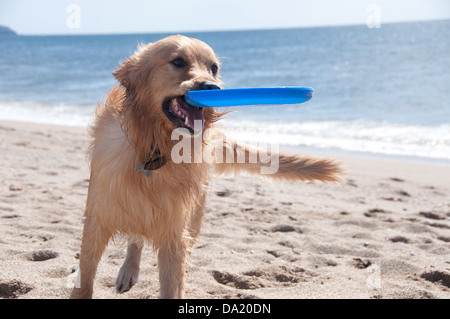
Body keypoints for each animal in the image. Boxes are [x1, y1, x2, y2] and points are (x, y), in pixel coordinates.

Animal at [69, 35, 342, 300]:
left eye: (214, 68)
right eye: (178, 61)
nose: (213, 88)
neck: (154, 148)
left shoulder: (174, 231)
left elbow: (172, 284)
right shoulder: (97, 218)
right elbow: (85, 279)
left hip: (194, 214)